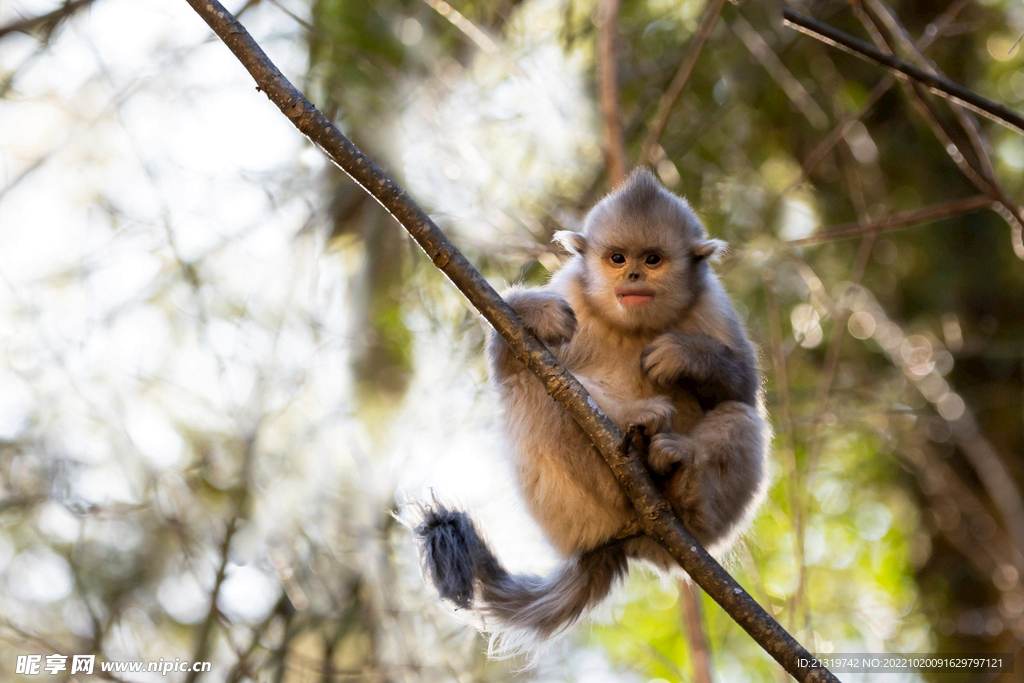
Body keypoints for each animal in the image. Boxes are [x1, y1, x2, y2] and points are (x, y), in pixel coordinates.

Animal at [415, 167, 770, 655]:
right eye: (617, 258)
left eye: (653, 259)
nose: (634, 273)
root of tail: (619, 542)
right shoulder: (572, 292)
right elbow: (510, 364)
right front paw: (536, 312)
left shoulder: (713, 304)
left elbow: (744, 388)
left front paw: (683, 356)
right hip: (571, 509)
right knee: (539, 387)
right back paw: (635, 435)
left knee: (740, 415)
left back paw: (679, 477)